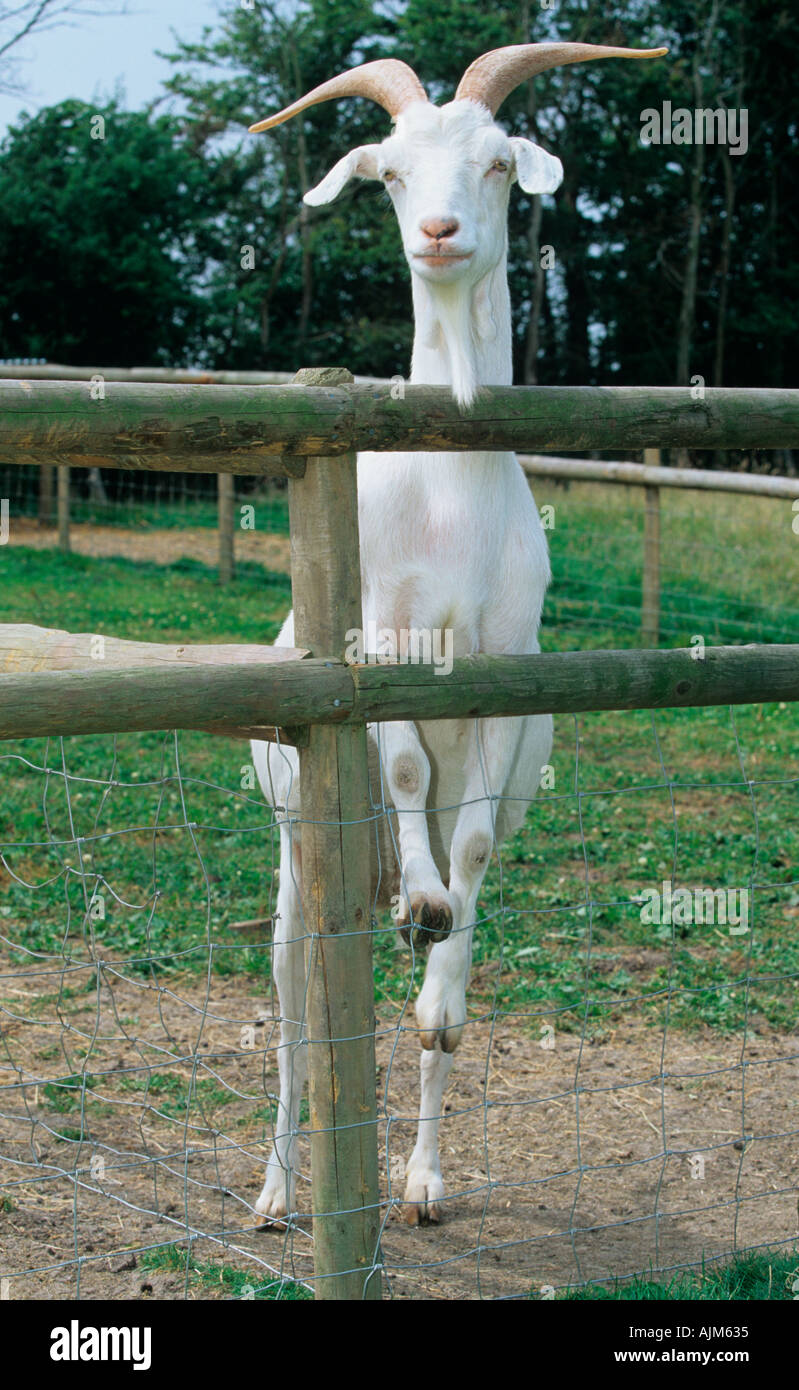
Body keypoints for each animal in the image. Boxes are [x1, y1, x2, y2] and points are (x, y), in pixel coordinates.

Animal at [248, 41, 666, 1226]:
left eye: (494, 165)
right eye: (389, 173)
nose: (437, 234)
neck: (447, 492)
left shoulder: (504, 687)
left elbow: (471, 859)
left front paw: (439, 963)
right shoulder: (382, 656)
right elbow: (396, 768)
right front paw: (427, 897)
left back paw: (424, 1178)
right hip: (296, 842)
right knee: (295, 1004)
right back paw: (277, 1189)